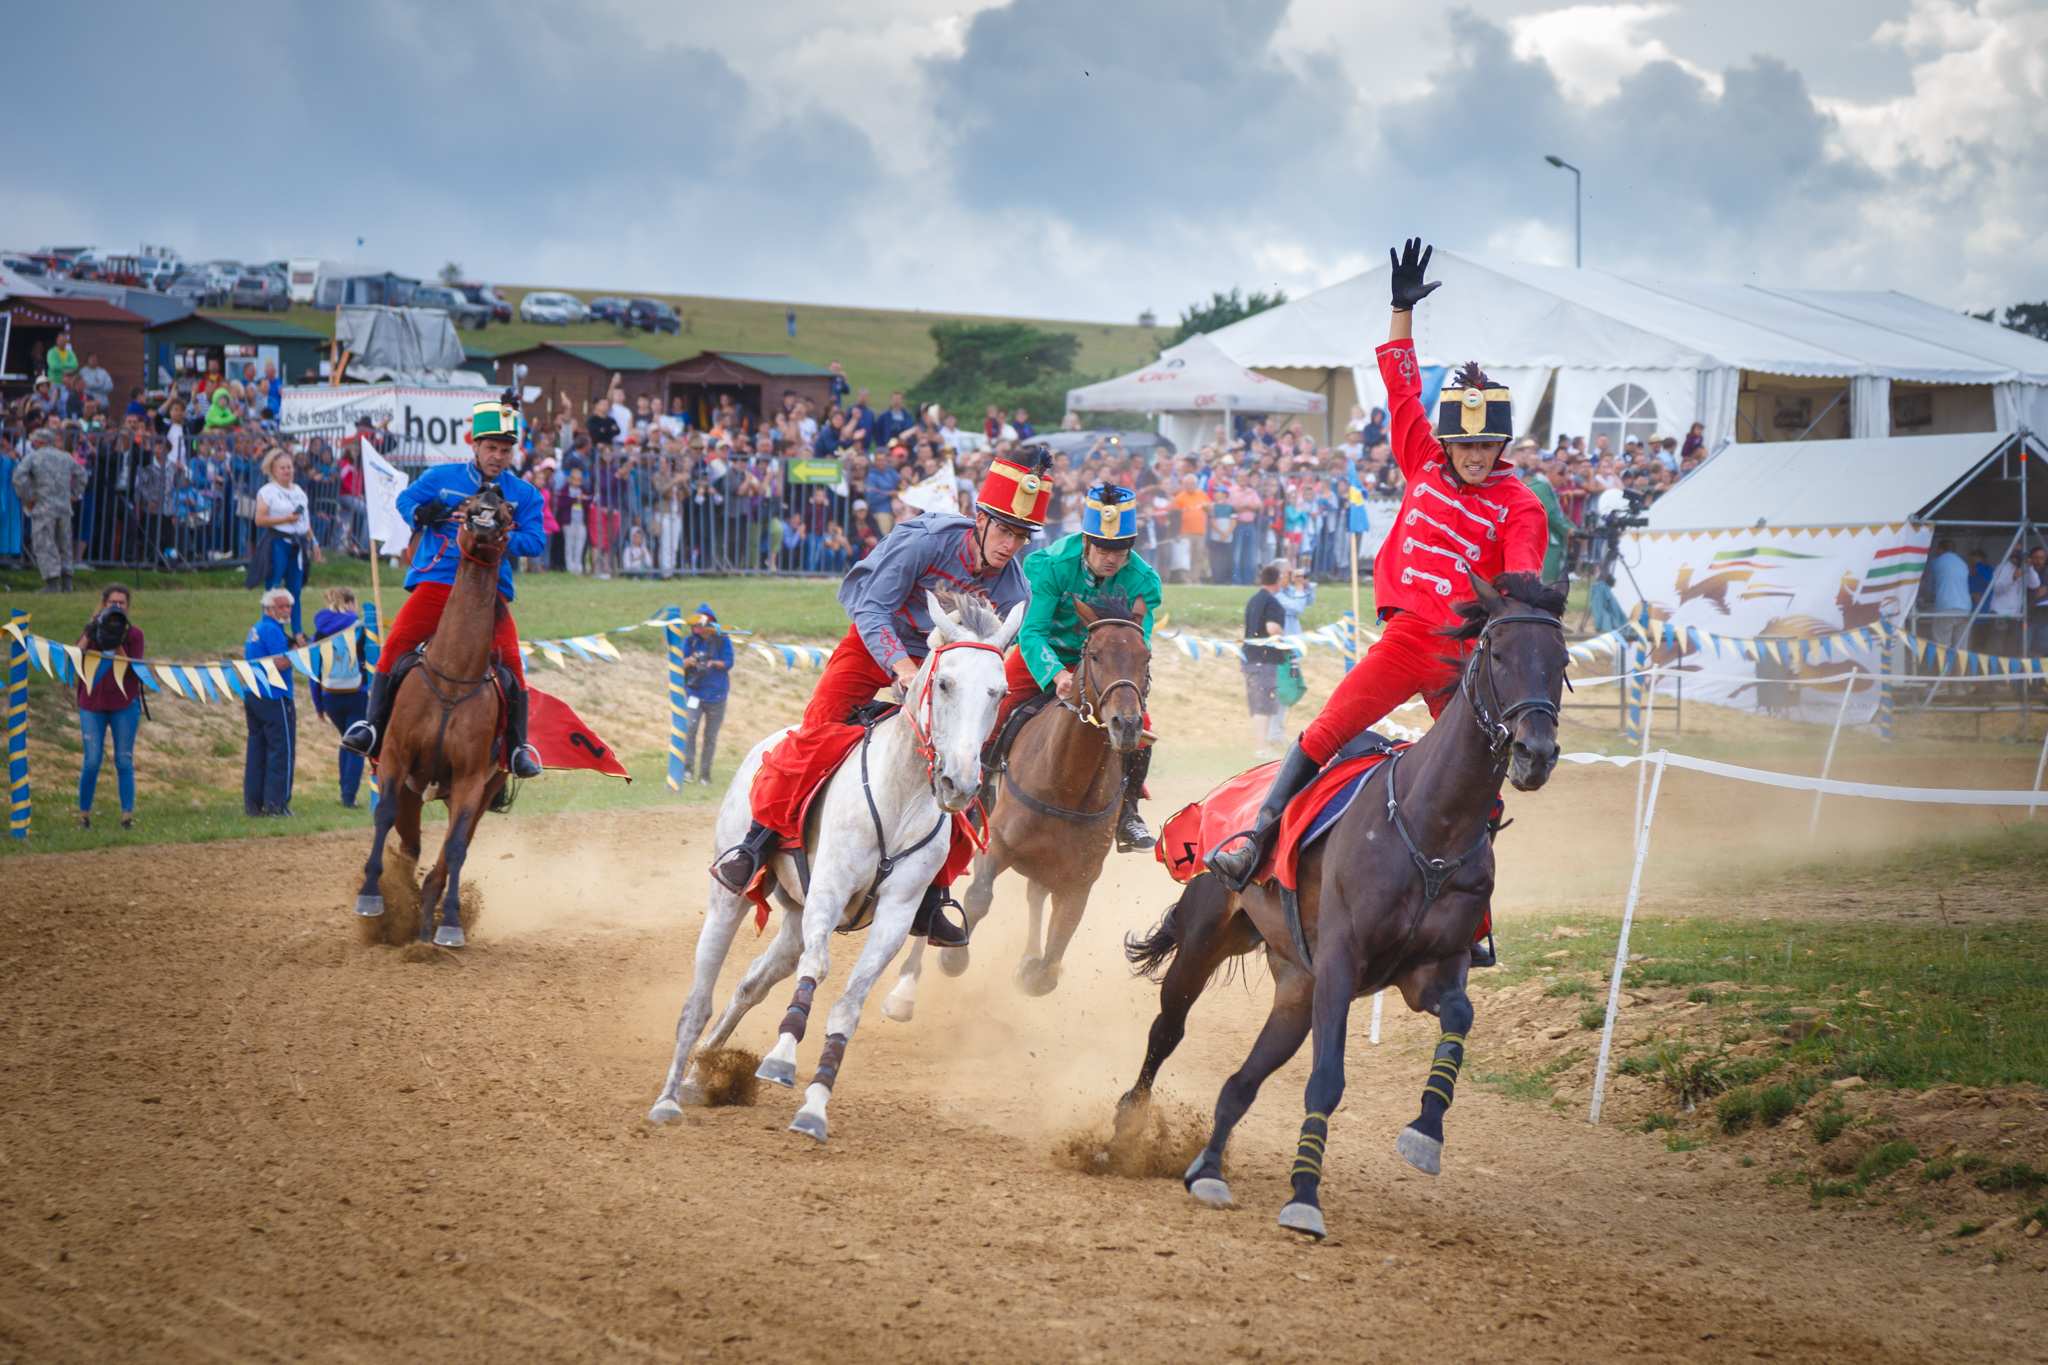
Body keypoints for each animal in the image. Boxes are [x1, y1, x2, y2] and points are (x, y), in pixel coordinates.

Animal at [352, 491, 512, 949]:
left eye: (510, 511)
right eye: (469, 503)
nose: (491, 494)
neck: (454, 678)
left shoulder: (471, 781)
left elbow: (456, 847)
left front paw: (451, 923)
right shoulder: (395, 758)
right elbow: (383, 814)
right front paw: (371, 896)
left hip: (477, 792)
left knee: (443, 858)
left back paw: (426, 925)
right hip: (411, 790)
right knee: (408, 846)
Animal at [876, 593, 1155, 1019]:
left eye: (1146, 657)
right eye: (1095, 654)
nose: (1126, 724)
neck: (1067, 782)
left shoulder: (1080, 881)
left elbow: (1049, 966)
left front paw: (1030, 966)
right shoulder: (997, 846)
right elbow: (977, 899)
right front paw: (952, 959)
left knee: (1035, 897)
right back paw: (904, 989)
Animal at [1105, 573, 1564, 1244]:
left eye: (1561, 662)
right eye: (1499, 655)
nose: (1536, 752)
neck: (1431, 826)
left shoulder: (1430, 970)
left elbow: (1460, 1016)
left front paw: (1425, 1132)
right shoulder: (1342, 964)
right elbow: (1327, 1080)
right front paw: (1304, 1197)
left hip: (1298, 989)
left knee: (1241, 1082)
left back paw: (1208, 1169)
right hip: (1206, 942)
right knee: (1168, 1030)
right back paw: (1127, 1129)